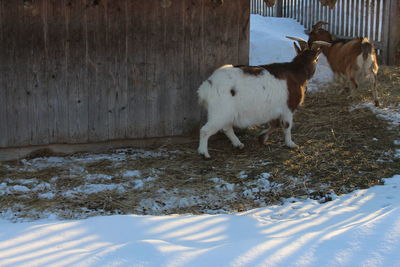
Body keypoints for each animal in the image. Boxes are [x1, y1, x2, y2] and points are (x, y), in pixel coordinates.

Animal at [195, 37, 330, 159]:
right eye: (317, 59)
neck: (296, 71)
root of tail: (207, 86)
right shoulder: (288, 109)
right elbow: (286, 126)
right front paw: (291, 144)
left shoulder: (274, 110)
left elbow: (275, 124)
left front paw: (262, 138)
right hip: (220, 112)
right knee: (205, 130)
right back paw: (204, 153)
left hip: (226, 113)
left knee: (227, 128)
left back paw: (238, 144)